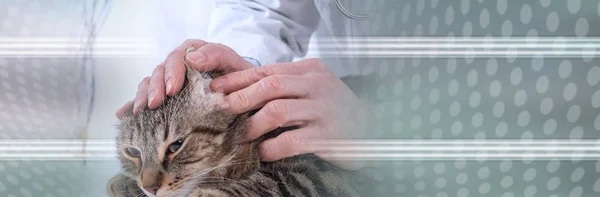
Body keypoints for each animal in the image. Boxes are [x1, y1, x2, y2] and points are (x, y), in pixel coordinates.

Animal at [105, 63, 372, 196]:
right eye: (133, 152)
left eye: (176, 146)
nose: (150, 188)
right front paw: (125, 182)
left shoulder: (315, 167)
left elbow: (269, 182)